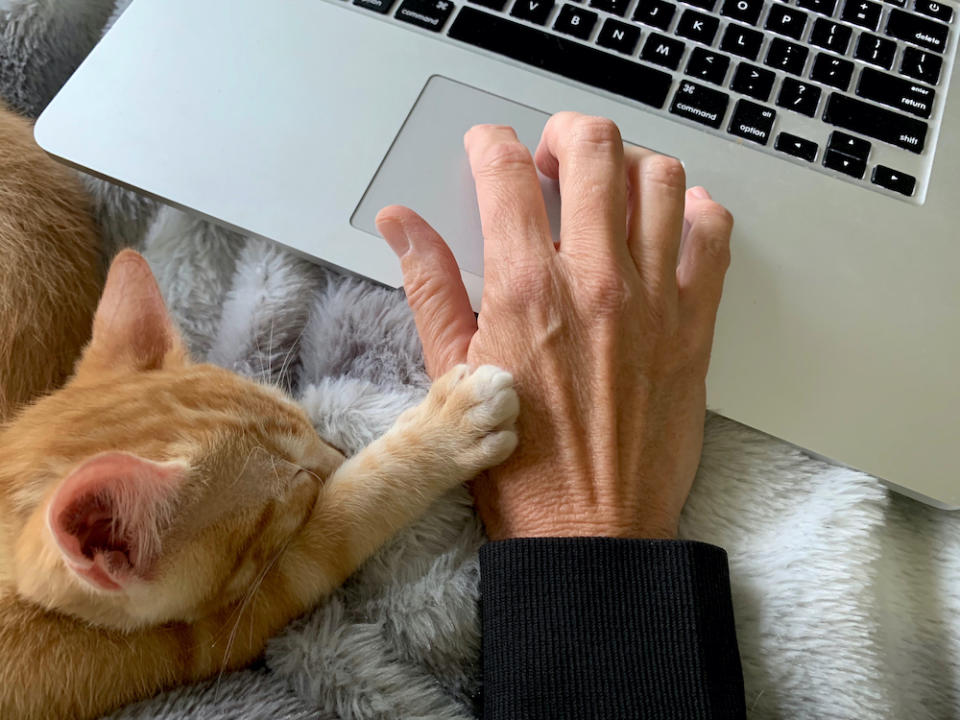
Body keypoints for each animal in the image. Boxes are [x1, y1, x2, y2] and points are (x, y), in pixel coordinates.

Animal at [0, 253, 516, 716]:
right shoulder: (220, 631)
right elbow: (348, 513)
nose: (337, 456)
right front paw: (446, 429)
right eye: (297, 486)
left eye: (305, 422)